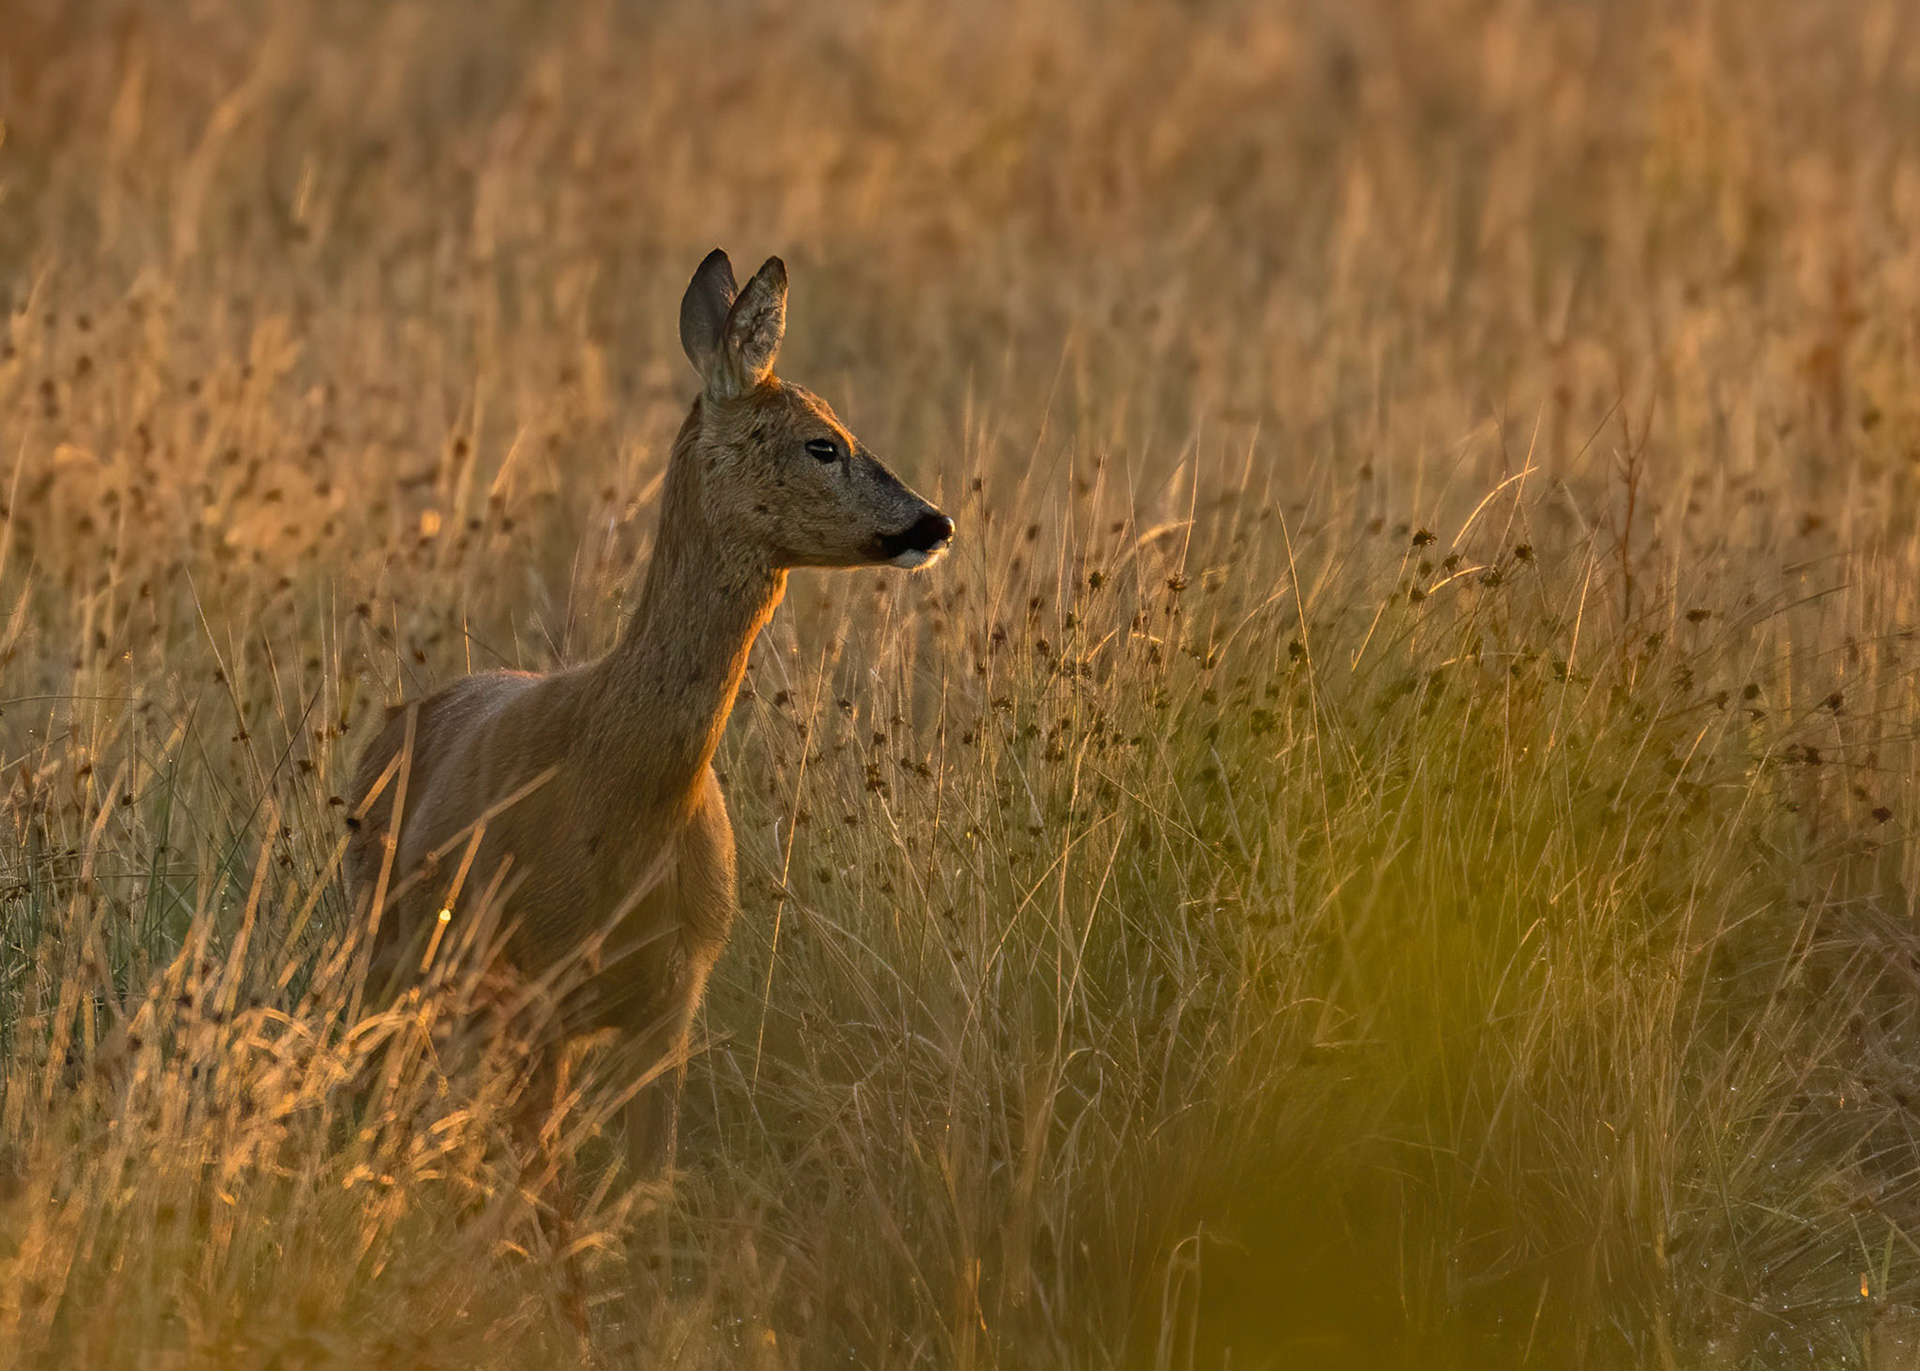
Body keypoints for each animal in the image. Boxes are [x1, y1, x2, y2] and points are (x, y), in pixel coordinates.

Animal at [343, 249, 953, 1180]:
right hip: (379, 945)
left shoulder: (674, 998)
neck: (625, 799)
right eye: (823, 442)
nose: (934, 519)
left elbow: (648, 1179)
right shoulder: (536, 985)